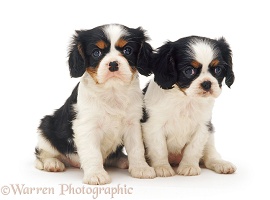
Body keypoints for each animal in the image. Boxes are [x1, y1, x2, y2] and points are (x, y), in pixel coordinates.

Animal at [34, 23, 156, 184]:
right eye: (96, 53)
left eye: (127, 50)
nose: (113, 64)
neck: (112, 92)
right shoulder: (86, 127)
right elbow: (92, 153)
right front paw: (96, 174)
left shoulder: (133, 124)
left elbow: (137, 148)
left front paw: (140, 168)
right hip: (46, 128)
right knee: (42, 154)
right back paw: (52, 163)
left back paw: (122, 160)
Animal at [142, 36, 237, 177]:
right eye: (189, 71)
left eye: (218, 70)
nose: (207, 83)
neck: (185, 99)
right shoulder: (153, 126)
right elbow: (159, 149)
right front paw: (162, 167)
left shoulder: (203, 127)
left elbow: (193, 149)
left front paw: (189, 166)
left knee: (210, 156)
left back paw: (222, 164)